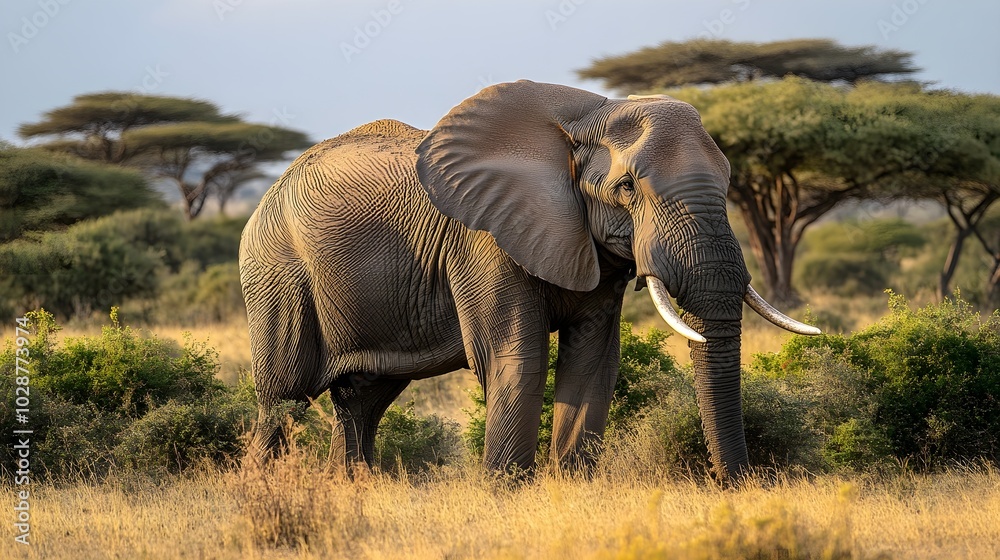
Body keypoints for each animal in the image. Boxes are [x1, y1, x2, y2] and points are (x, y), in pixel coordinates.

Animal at [239, 80, 819, 483]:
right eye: (627, 187)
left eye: (728, 181)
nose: (740, 484)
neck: (588, 116)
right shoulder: (485, 239)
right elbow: (516, 357)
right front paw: (504, 493)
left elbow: (594, 359)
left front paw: (572, 488)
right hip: (277, 271)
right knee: (284, 397)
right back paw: (264, 490)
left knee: (362, 400)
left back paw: (353, 488)